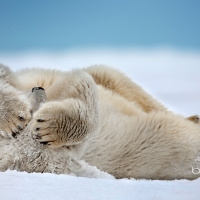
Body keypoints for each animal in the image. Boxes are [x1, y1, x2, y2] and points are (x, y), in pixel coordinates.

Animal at [0, 64, 200, 180]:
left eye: (34, 113)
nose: (39, 89)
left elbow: (80, 81)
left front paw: (42, 124)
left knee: (118, 81)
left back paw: (193, 117)